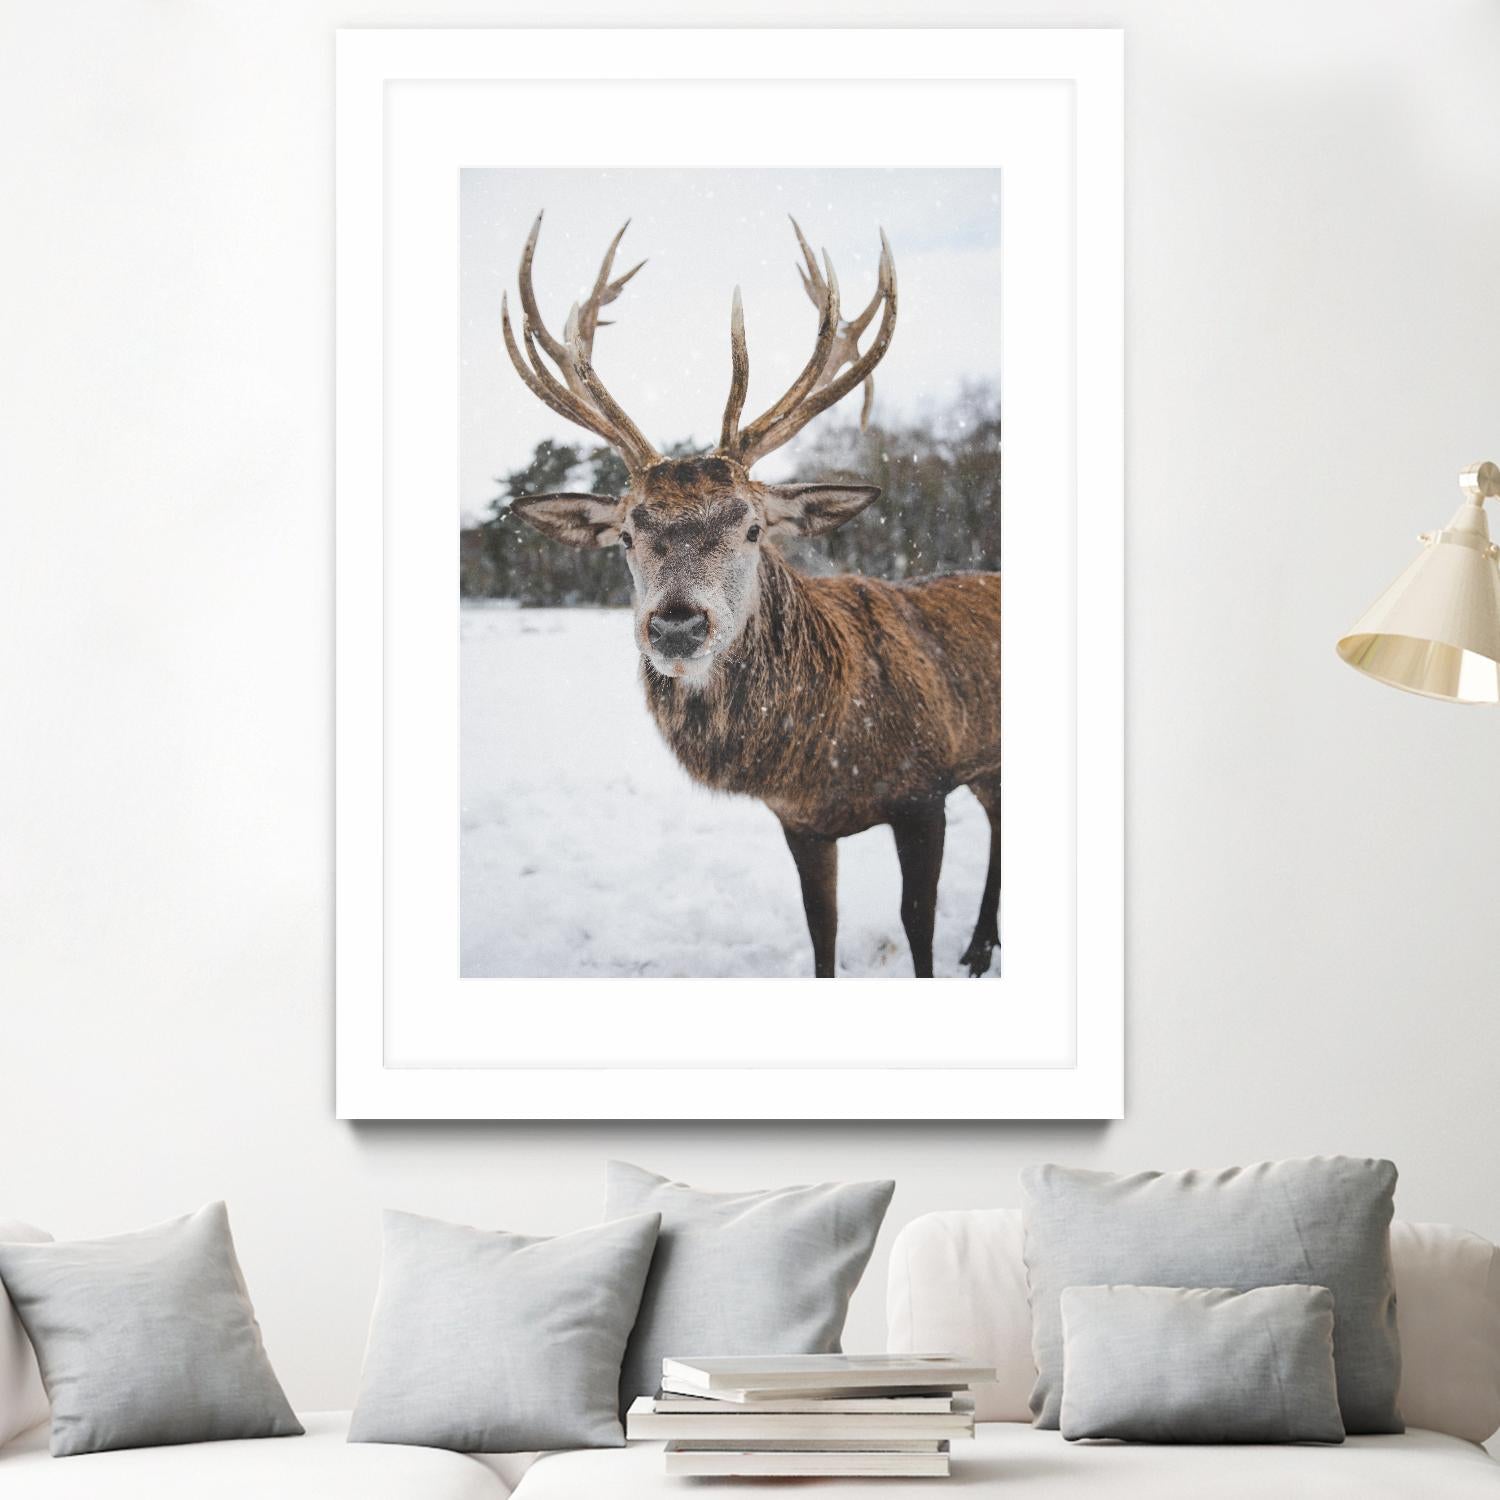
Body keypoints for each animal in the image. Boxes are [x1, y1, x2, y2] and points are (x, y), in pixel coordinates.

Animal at [500, 213, 1001, 978]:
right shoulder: (799, 822)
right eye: (626, 534)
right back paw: (979, 945)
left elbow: (917, 926)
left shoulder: (925, 789)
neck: (828, 754)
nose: (677, 626)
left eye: (753, 526)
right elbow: (821, 929)